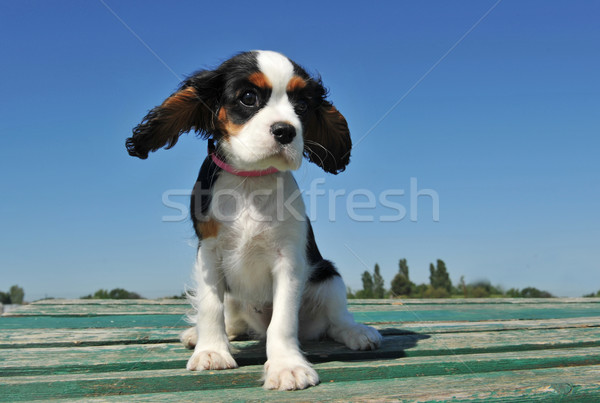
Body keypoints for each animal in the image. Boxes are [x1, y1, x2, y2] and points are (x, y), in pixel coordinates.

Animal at [126, 50, 382, 392]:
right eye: (248, 97)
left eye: (302, 106)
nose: (286, 130)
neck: (250, 179)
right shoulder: (209, 253)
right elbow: (210, 306)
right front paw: (211, 352)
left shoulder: (289, 259)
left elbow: (282, 322)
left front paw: (287, 366)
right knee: (234, 322)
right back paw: (201, 335)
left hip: (328, 277)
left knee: (335, 321)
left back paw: (358, 333)